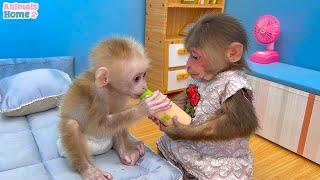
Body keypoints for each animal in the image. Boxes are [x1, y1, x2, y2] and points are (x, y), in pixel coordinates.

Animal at [58, 37, 171, 179]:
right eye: (136, 78)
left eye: (144, 75)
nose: (144, 87)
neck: (110, 89)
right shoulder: (96, 97)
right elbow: (98, 126)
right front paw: (145, 107)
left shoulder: (121, 95)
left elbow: (118, 117)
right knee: (71, 125)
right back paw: (89, 170)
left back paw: (123, 150)